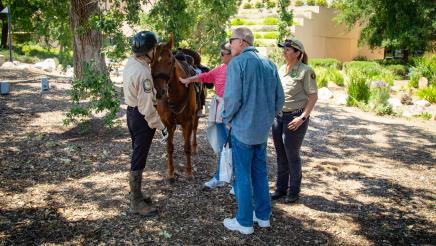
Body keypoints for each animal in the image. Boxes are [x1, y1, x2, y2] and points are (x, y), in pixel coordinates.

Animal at [149, 34, 198, 182]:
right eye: (151, 63)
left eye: (170, 62)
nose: (160, 92)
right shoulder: (169, 123)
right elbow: (170, 147)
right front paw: (171, 172)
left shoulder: (188, 121)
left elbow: (187, 147)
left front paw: (189, 172)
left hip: (195, 117)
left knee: (194, 130)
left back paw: (194, 147)